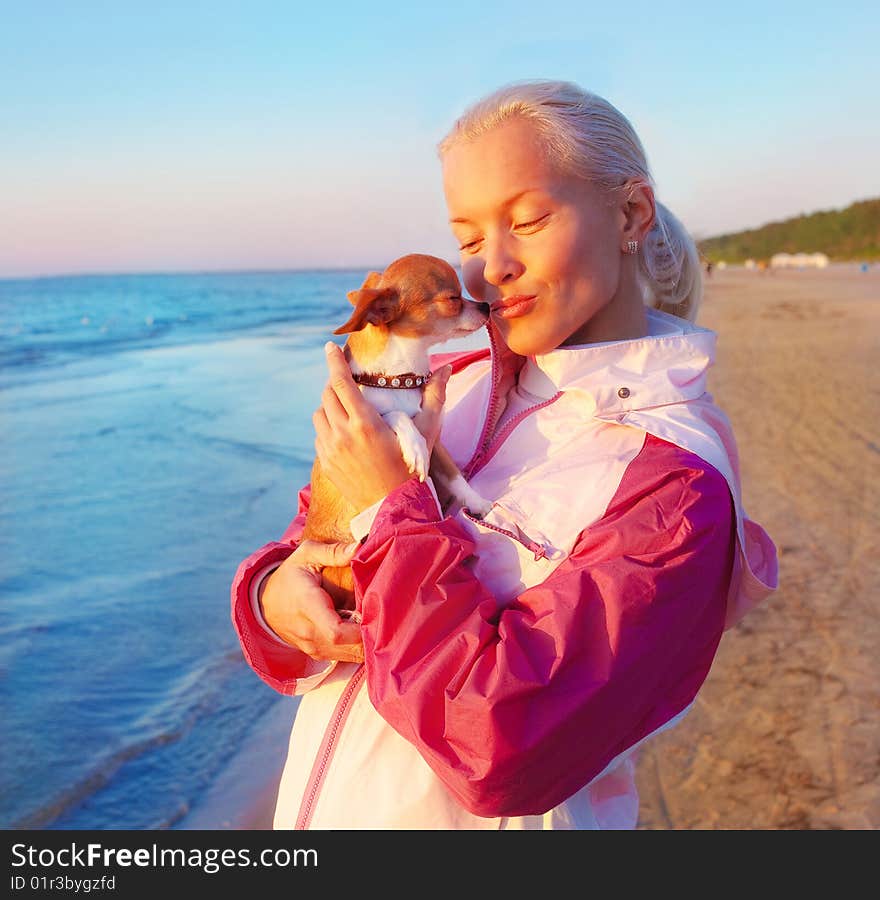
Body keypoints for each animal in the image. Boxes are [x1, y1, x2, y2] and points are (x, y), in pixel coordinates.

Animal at [302, 251, 492, 612]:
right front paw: (413, 446)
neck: (398, 378)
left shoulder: (438, 443)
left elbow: (455, 477)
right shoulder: (375, 415)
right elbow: (396, 415)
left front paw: (481, 502)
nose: (487, 305)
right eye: (453, 299)